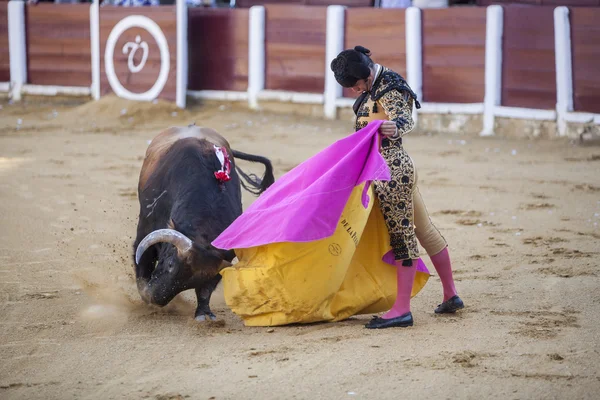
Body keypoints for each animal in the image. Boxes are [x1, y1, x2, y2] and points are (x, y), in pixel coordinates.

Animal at [133, 125, 274, 322]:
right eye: (170, 264)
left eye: (189, 284)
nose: (154, 298)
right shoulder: (145, 229)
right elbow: (142, 259)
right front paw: (144, 295)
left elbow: (206, 291)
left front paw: (204, 314)